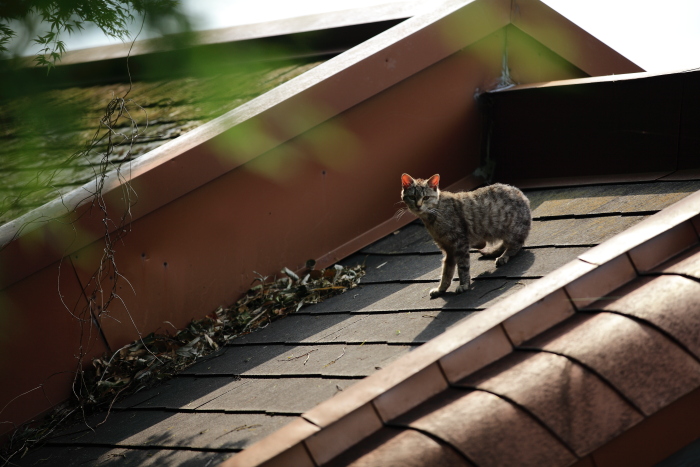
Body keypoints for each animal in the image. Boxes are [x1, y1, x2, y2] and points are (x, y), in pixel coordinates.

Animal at [400, 174, 532, 298]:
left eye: (426, 197)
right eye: (412, 197)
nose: (418, 205)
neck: (433, 217)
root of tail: (523, 196)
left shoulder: (459, 244)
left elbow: (462, 267)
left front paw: (463, 285)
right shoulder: (448, 250)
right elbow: (446, 273)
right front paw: (441, 289)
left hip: (511, 229)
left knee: (516, 244)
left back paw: (503, 256)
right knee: (504, 244)